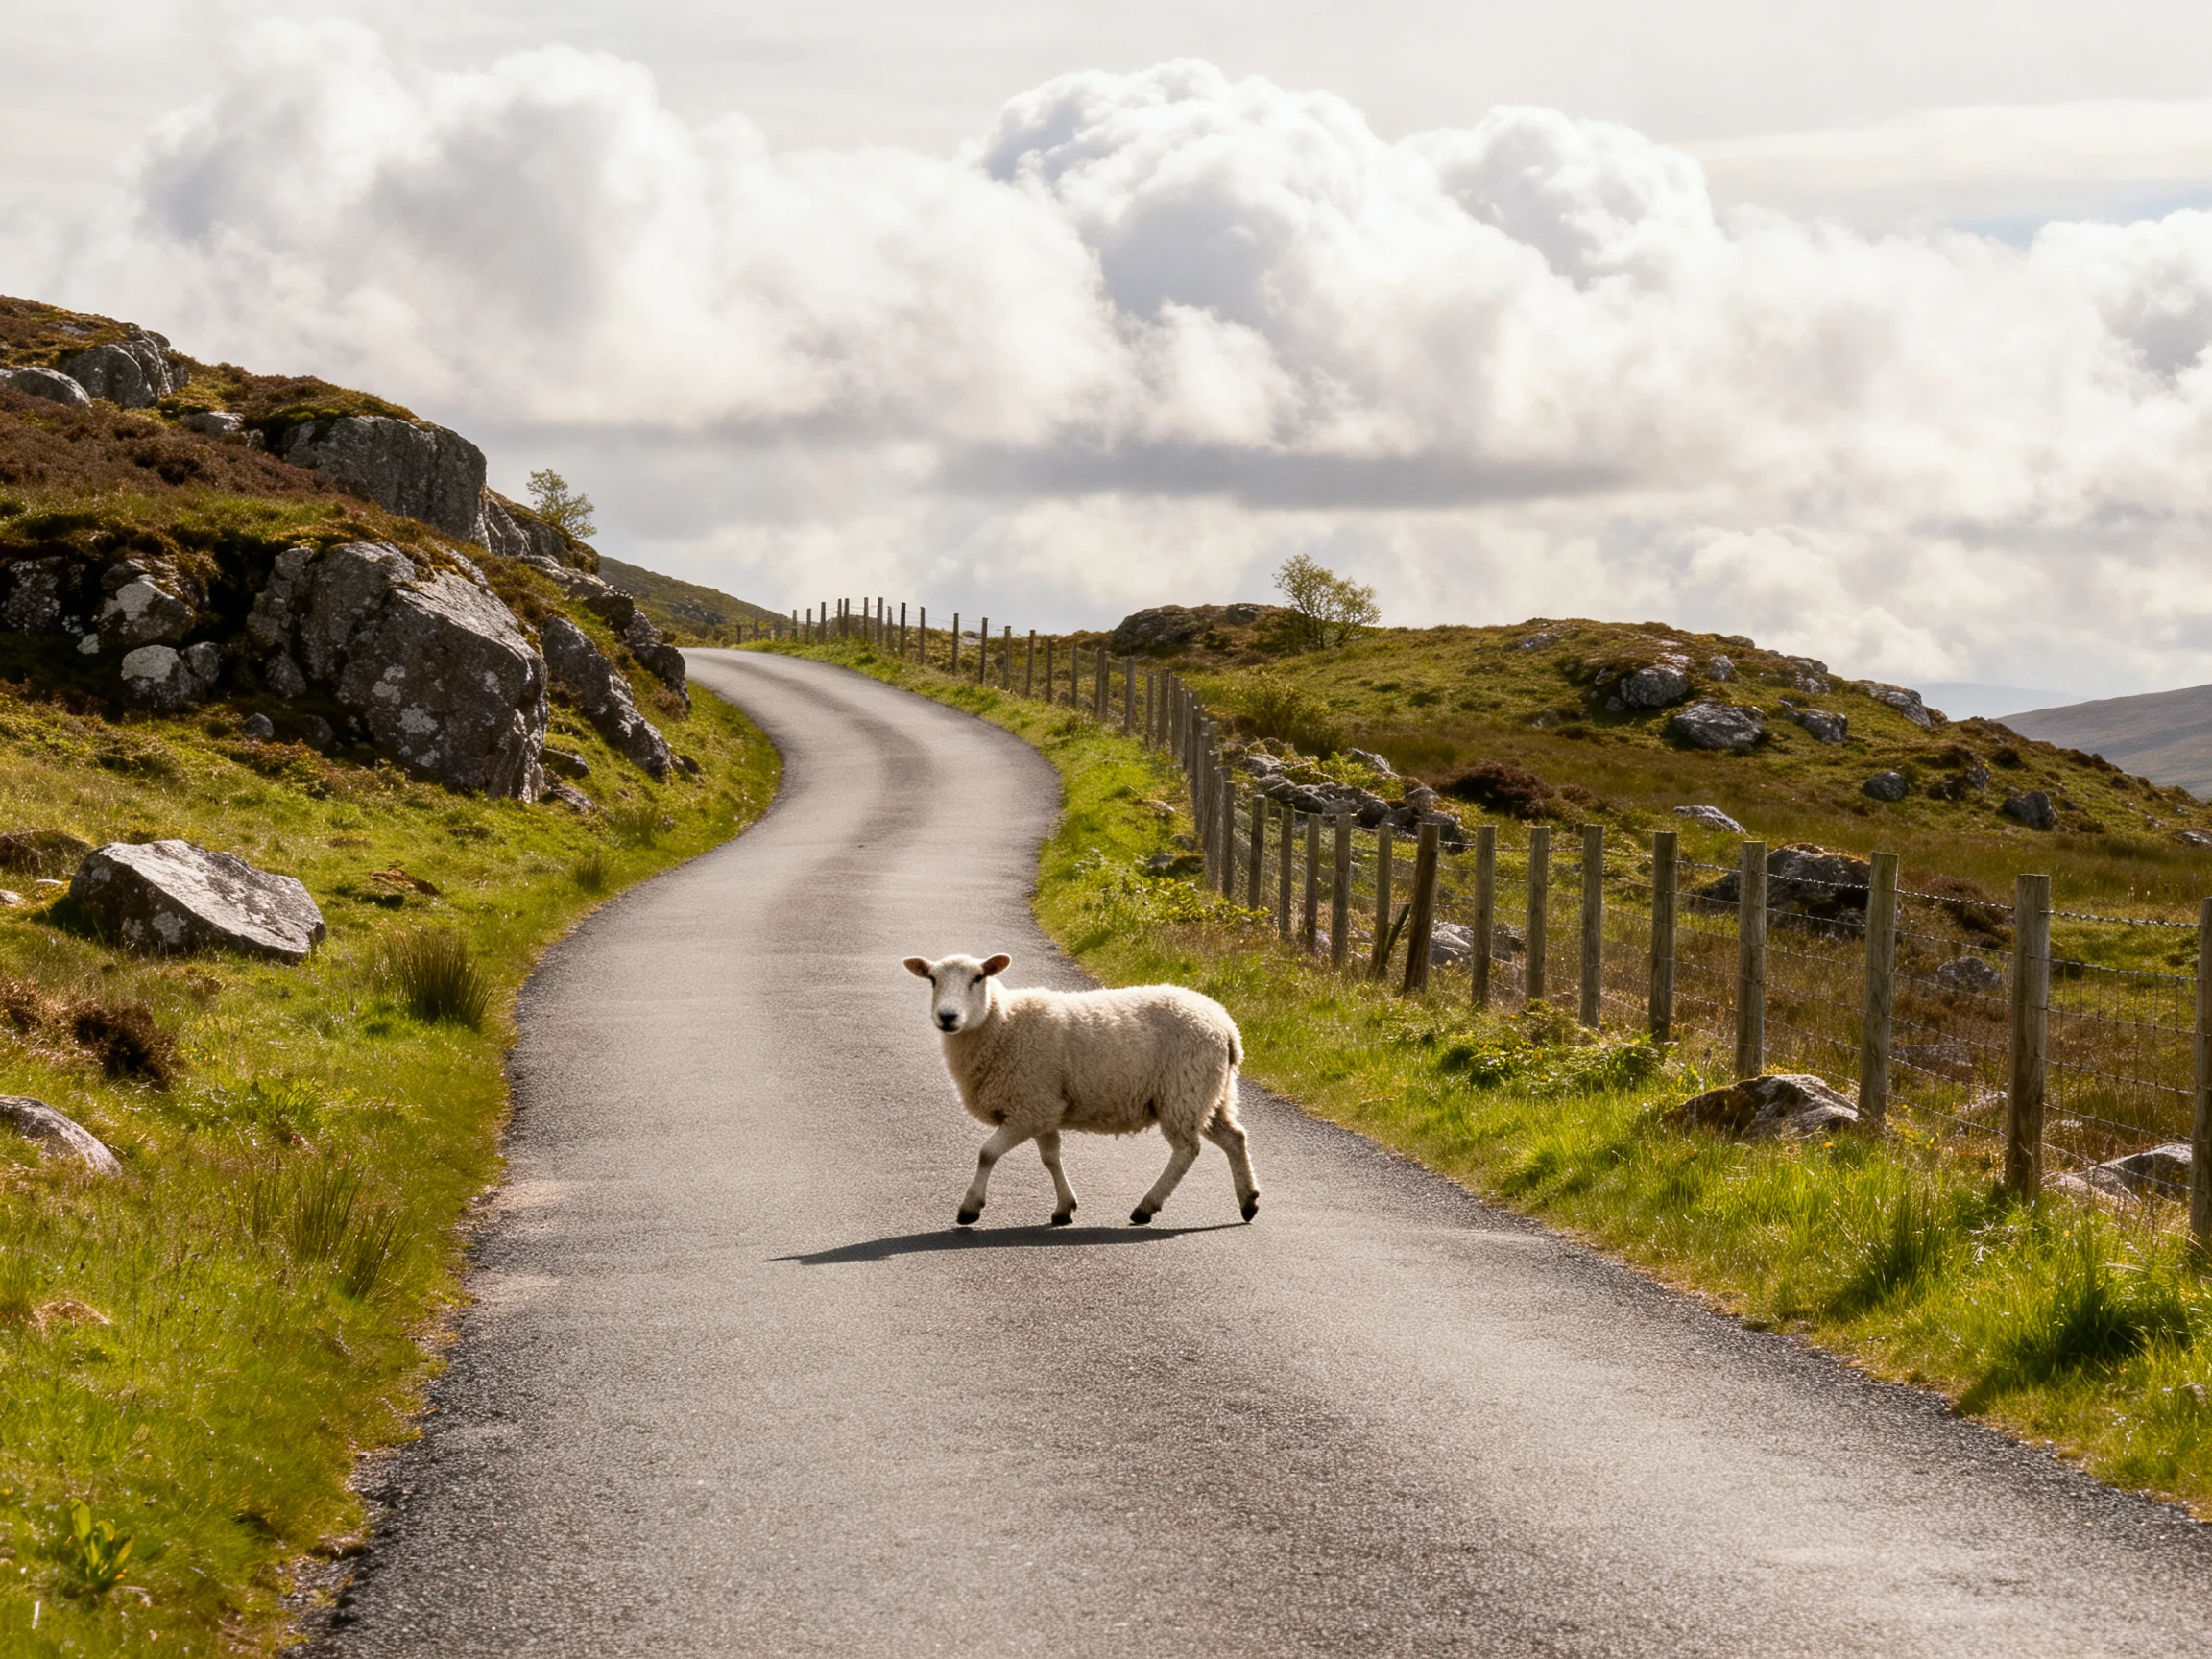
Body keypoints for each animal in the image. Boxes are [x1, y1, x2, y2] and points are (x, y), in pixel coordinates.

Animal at [903, 953, 1258, 1228]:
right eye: (932, 980)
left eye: (978, 978)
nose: (948, 1016)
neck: (1003, 1023)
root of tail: (1226, 1026)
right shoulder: (1043, 1109)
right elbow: (1050, 1158)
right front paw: (1064, 1208)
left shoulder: (1030, 1107)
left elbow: (987, 1153)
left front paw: (970, 1208)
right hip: (1211, 1093)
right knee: (1235, 1137)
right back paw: (1249, 1202)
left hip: (1184, 1092)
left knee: (1187, 1150)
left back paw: (1146, 1207)